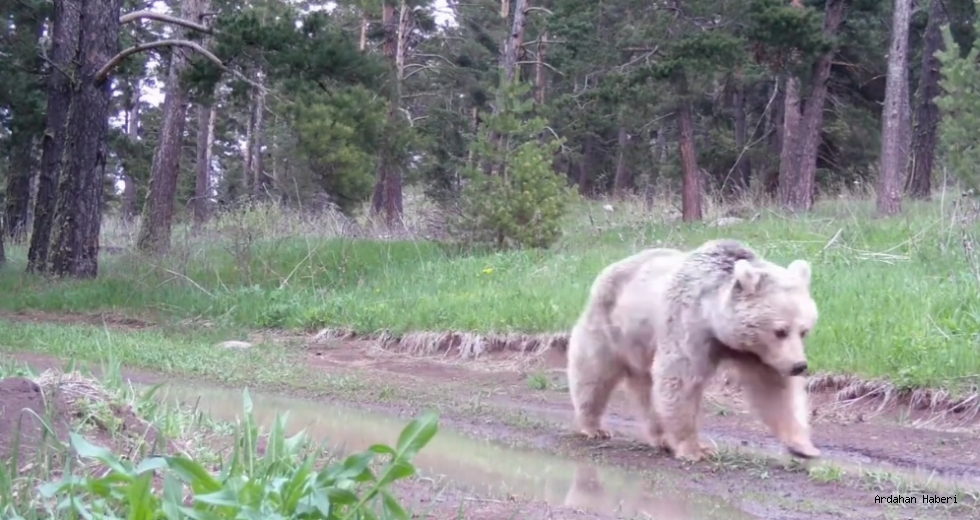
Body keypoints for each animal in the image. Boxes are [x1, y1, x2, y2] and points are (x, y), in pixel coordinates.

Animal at [568, 238, 820, 462]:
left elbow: (774, 389)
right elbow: (680, 380)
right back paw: (593, 426)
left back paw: (660, 437)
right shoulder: (689, 325)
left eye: (804, 330)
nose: (799, 366)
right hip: (610, 324)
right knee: (594, 371)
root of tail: (611, 266)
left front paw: (803, 446)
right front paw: (695, 449)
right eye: (780, 331)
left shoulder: (756, 353)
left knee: (645, 387)